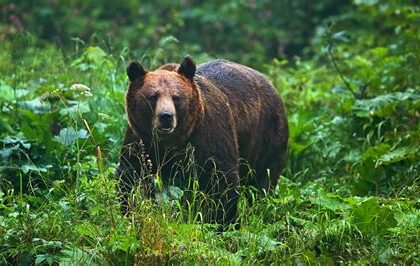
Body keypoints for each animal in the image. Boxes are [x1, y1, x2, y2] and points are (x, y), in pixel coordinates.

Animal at [118, 56, 288, 224]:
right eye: (153, 97)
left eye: (176, 97)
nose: (166, 116)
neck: (172, 141)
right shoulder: (141, 139)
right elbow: (131, 174)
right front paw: (130, 211)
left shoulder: (208, 135)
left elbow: (221, 180)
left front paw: (220, 220)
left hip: (268, 137)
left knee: (263, 179)